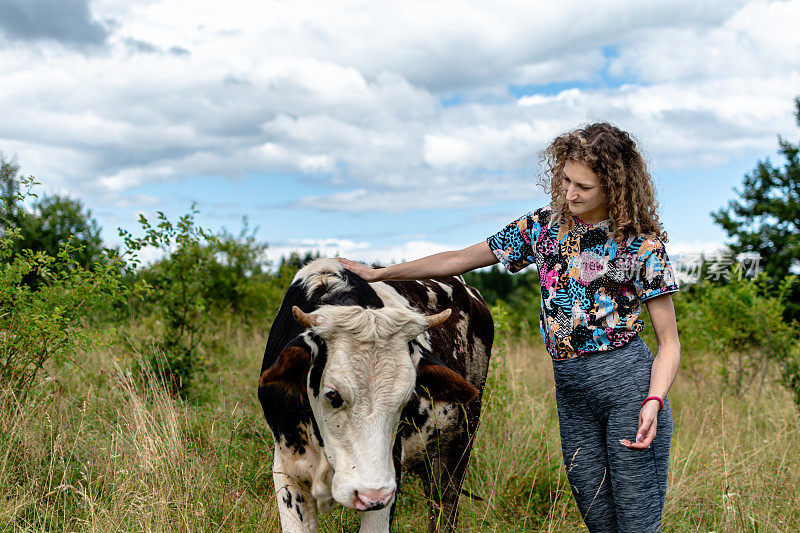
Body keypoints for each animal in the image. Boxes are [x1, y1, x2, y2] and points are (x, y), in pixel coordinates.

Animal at [256, 256, 494, 528]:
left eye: (407, 398)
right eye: (332, 394)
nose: (371, 493)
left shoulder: (389, 476)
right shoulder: (287, 472)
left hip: (459, 446)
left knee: (444, 511)